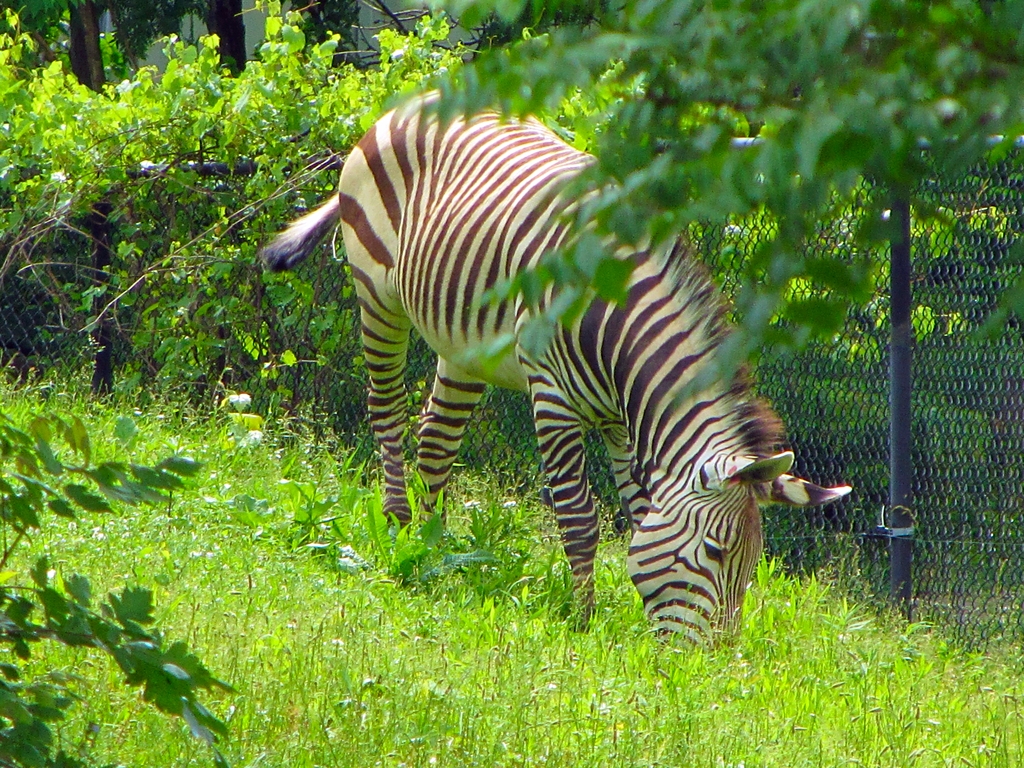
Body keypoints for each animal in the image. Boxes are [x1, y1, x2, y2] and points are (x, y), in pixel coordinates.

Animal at [259, 92, 851, 640]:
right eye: (715, 550)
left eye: (750, 564)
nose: (712, 663)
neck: (616, 318)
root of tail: (413, 101)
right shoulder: (553, 401)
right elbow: (580, 517)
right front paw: (584, 620)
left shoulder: (620, 420)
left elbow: (638, 512)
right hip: (376, 295)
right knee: (385, 412)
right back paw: (398, 529)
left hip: (463, 342)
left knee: (435, 443)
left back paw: (430, 551)